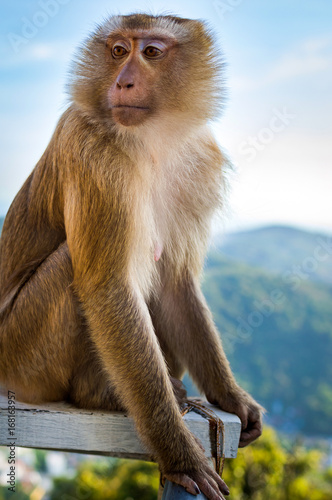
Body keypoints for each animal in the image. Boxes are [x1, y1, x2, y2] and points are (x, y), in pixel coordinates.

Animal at [0, 13, 262, 498]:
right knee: (74, 265)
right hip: (23, 357)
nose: (122, 81)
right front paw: (180, 456)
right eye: (119, 51)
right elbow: (108, 289)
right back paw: (96, 394)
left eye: (152, 52)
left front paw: (232, 398)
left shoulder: (199, 160)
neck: (152, 140)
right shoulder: (92, 151)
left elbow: (176, 284)